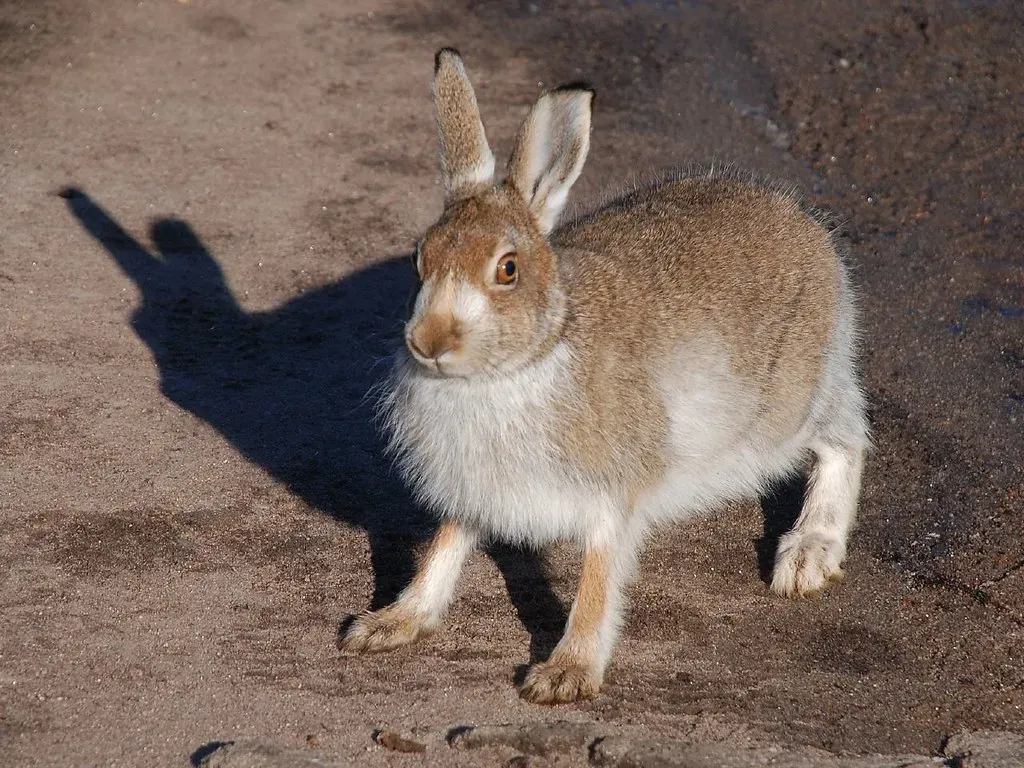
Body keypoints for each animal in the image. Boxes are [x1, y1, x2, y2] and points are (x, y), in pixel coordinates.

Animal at [340, 48, 869, 704]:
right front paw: (391, 623)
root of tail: (806, 225)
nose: (430, 342)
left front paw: (565, 674)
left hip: (788, 407)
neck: (520, 363)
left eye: (507, 269)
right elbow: (445, 548)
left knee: (846, 437)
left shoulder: (613, 492)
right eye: (420, 259)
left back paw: (807, 555)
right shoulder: (473, 490)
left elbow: (599, 579)